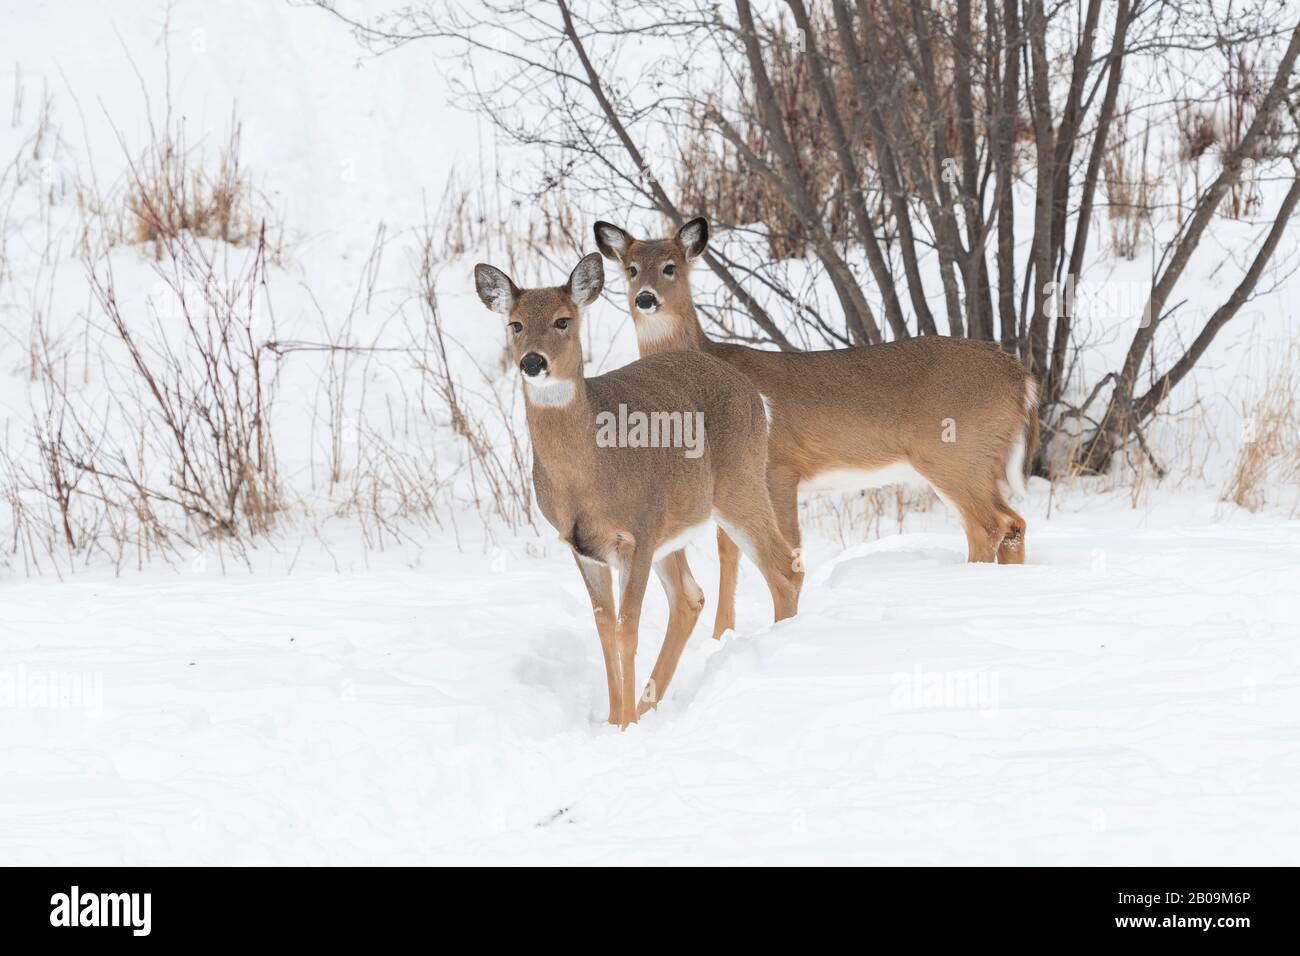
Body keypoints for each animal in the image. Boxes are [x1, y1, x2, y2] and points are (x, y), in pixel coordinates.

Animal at [473, 252, 801, 727]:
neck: (587, 475)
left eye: (562, 320)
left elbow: (627, 628)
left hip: (738, 484)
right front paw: (615, 721)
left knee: (783, 568)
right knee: (691, 597)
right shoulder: (582, 546)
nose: (532, 362)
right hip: (676, 522)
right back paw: (650, 704)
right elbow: (604, 626)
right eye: (515, 324)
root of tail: (754, 394)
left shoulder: (637, 533)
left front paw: (625, 724)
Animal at [594, 217, 1039, 640]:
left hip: (953, 455)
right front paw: (722, 635)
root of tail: (1020, 376)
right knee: (1013, 523)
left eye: (670, 267)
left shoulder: (778, 468)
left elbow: (781, 552)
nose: (645, 299)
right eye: (631, 269)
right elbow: (729, 553)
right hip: (979, 461)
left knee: (989, 526)